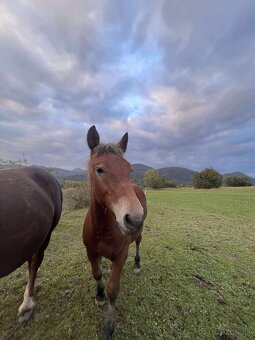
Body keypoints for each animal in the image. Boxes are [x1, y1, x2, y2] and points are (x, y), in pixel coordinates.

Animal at [83, 126, 147, 338]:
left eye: (129, 170)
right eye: (99, 169)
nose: (135, 218)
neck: (103, 228)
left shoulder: (121, 255)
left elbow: (113, 289)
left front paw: (109, 328)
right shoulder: (91, 253)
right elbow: (97, 274)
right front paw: (99, 295)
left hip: (138, 235)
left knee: (138, 242)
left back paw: (137, 264)